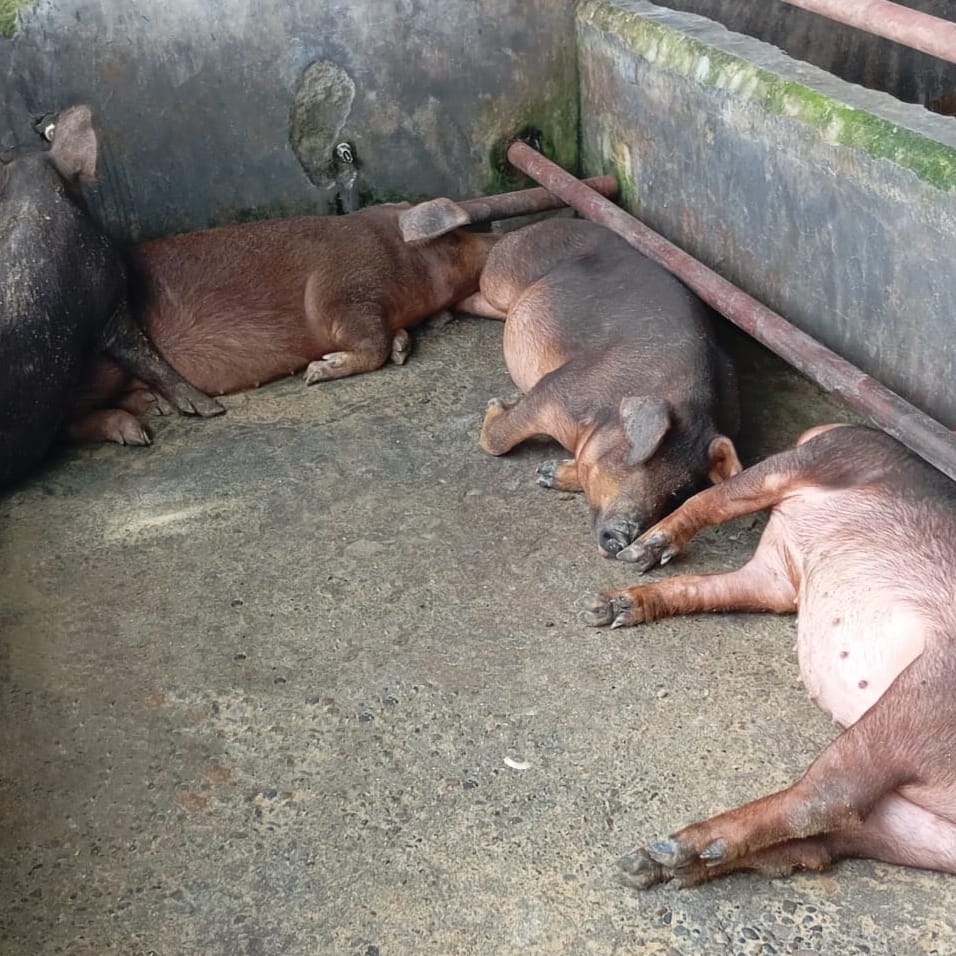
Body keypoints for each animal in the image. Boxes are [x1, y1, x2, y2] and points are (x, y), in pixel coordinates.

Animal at [0, 105, 223, 489]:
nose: (37, 122)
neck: (30, 199)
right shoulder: (109, 294)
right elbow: (144, 353)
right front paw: (212, 408)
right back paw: (140, 431)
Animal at [69, 200, 498, 443]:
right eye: (453, 239)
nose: (495, 242)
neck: (396, 256)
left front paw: (401, 347)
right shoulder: (342, 294)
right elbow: (369, 344)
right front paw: (317, 371)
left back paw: (153, 407)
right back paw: (137, 435)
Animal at [464, 217, 741, 557]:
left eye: (679, 491)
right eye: (646, 460)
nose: (623, 538)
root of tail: (540, 224)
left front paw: (546, 472)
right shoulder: (558, 388)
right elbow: (496, 439)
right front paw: (497, 403)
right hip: (502, 279)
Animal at [577, 423, 956, 886]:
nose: (620, 546)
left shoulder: (825, 457)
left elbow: (711, 498)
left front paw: (637, 552)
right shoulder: (775, 578)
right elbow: (701, 586)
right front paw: (599, 608)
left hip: (925, 697)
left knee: (828, 797)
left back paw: (669, 850)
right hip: (930, 832)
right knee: (832, 837)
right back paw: (653, 865)